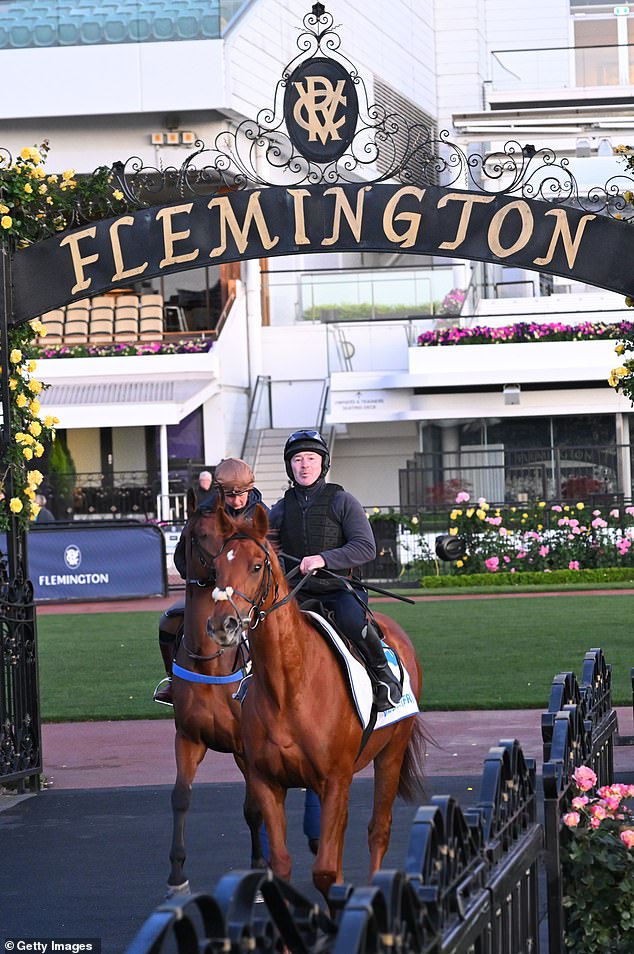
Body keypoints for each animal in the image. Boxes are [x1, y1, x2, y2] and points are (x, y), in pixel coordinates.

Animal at [206, 502, 424, 896]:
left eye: (256, 566)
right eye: (216, 568)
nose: (222, 624)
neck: (289, 686)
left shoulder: (334, 780)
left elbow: (325, 871)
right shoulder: (267, 782)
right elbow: (283, 863)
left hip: (391, 753)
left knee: (378, 830)